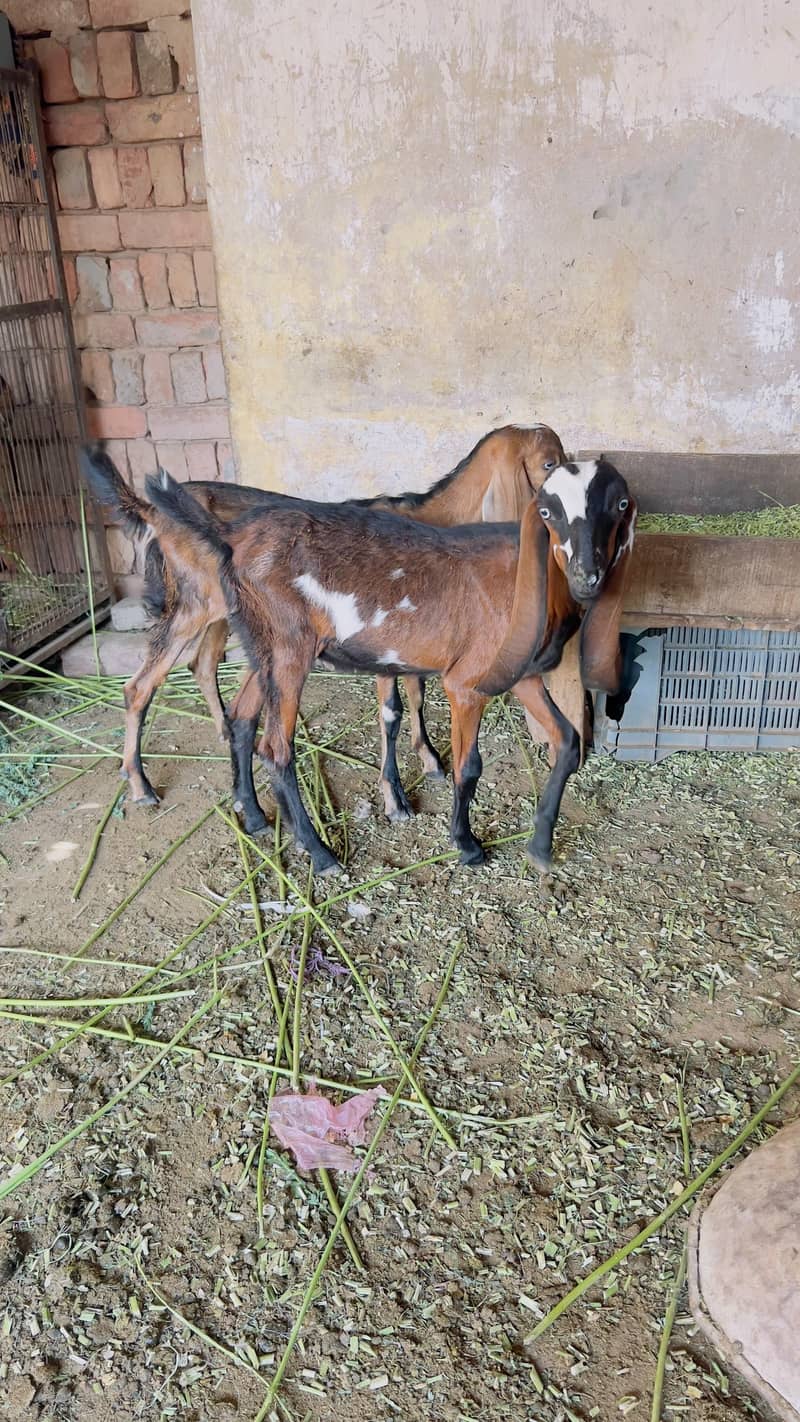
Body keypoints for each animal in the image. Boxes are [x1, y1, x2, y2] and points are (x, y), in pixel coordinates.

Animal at [81, 424, 565, 827]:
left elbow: (417, 695)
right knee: (141, 686)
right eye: (549, 463)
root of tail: (150, 510)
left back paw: (225, 747)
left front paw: (429, 759)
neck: (433, 518)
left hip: (229, 616)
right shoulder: (384, 638)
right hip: (192, 605)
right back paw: (140, 784)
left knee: (204, 665)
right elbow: (392, 711)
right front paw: (395, 798)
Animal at [143, 459, 637, 876]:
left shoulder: (524, 676)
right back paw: (321, 855)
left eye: (620, 505)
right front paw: (466, 844)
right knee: (276, 748)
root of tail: (230, 537)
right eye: (548, 511)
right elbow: (469, 766)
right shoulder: (466, 682)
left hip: (262, 645)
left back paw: (255, 815)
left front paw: (539, 846)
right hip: (288, 648)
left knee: (242, 718)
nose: (587, 576)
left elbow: (568, 742)